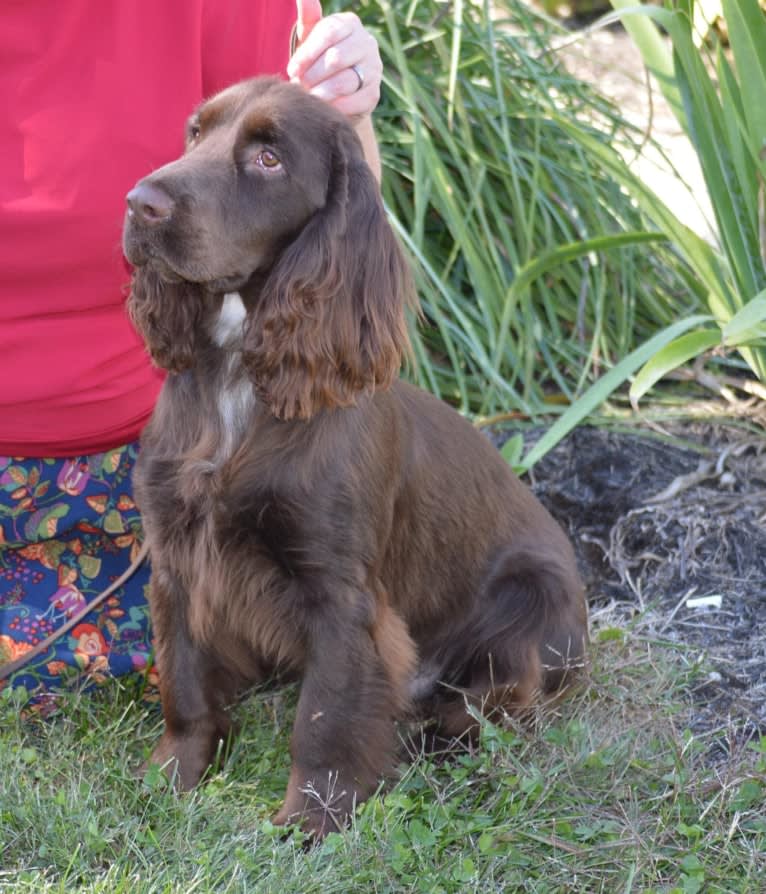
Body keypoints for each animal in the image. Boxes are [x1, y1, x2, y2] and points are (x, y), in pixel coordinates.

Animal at [123, 77, 588, 840]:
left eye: (270, 158)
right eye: (195, 133)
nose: (139, 203)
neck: (239, 377)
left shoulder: (341, 595)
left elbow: (326, 717)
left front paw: (310, 822)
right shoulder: (177, 559)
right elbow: (185, 683)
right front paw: (172, 778)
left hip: (535, 597)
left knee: (498, 703)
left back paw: (436, 735)